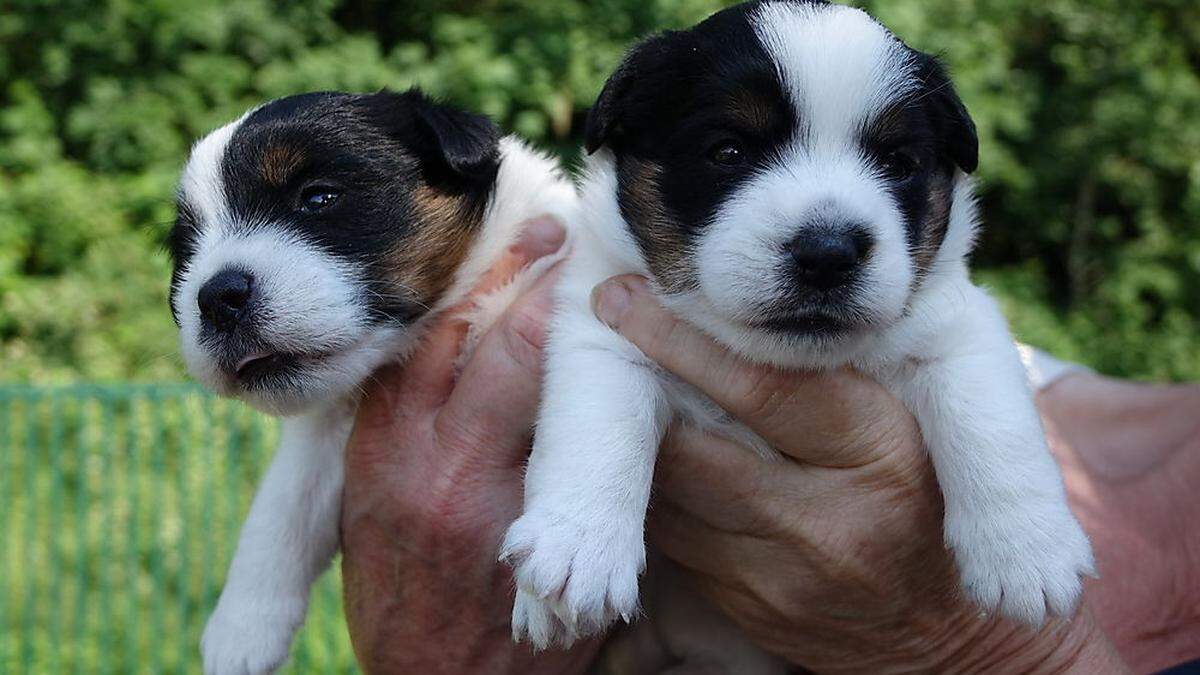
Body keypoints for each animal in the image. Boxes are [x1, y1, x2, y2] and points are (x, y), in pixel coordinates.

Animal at [169, 90, 576, 672]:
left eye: (319, 198)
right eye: (186, 253)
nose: (217, 297)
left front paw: (563, 559)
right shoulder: (323, 433)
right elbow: (281, 504)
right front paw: (241, 627)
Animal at [504, 0, 1099, 662]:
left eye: (898, 164)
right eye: (728, 152)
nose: (828, 253)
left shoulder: (960, 326)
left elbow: (991, 420)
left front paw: (1028, 550)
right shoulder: (603, 325)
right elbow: (601, 422)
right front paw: (576, 547)